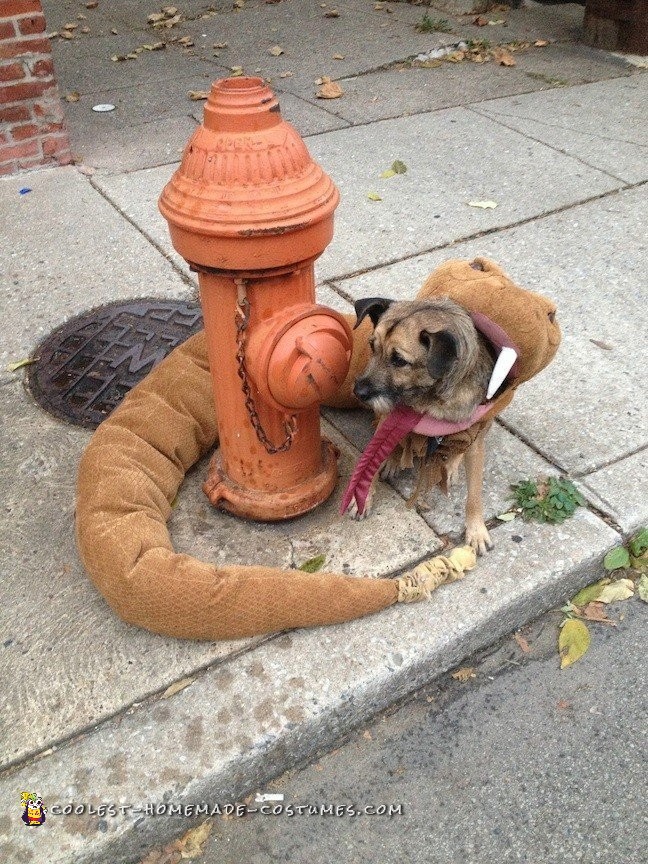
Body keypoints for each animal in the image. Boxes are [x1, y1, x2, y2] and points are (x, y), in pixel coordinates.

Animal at [346, 294, 498, 556]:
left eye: (399, 360)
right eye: (372, 346)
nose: (358, 391)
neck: (430, 396)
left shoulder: (476, 440)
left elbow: (474, 495)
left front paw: (476, 529)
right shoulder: (388, 418)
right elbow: (371, 460)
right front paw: (363, 497)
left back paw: (451, 465)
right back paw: (393, 460)